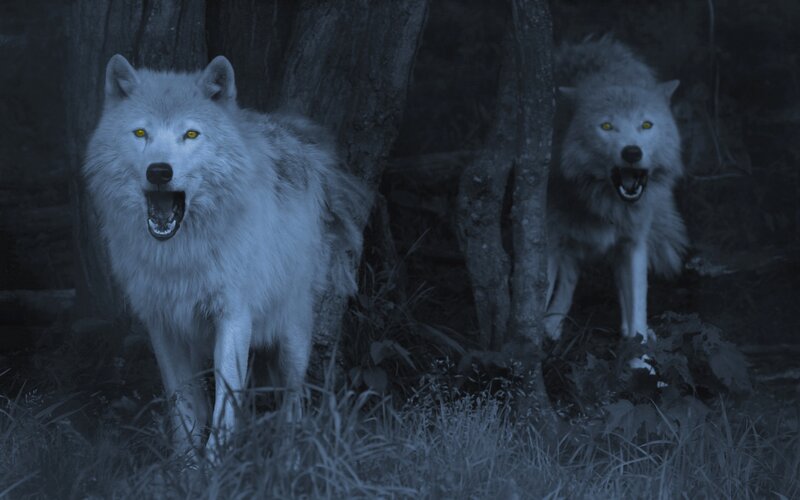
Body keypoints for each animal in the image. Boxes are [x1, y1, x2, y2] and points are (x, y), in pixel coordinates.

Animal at [83, 54, 366, 451]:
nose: (159, 171)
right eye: (140, 134)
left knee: (293, 399)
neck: (181, 253)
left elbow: (224, 406)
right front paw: (186, 463)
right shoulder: (162, 324)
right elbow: (184, 406)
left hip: (293, 332)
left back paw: (288, 450)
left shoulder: (233, 316)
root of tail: (291, 132)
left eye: (191, 134)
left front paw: (216, 461)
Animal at [545, 36, 688, 345]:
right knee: (567, 279)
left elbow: (637, 310)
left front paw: (641, 353)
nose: (632, 152)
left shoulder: (634, 244)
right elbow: (537, 294)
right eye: (607, 126)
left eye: (646, 124)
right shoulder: (548, 241)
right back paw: (552, 326)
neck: (604, 205)